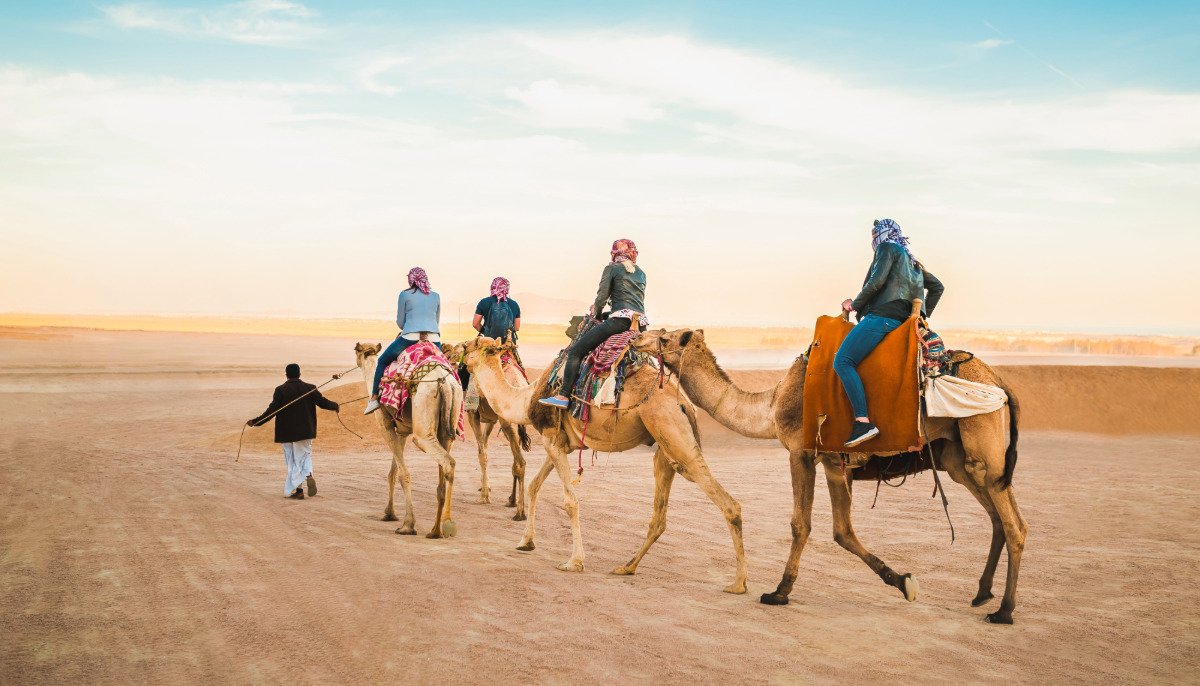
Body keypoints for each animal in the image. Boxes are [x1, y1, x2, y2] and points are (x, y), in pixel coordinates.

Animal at [350, 340, 463, 539]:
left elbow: (403, 474)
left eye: (358, 350)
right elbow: (393, 473)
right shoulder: (401, 431)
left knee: (448, 462)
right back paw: (435, 530)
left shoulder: (385, 427)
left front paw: (407, 525)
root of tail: (444, 383)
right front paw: (389, 513)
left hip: (423, 432)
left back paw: (447, 524)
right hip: (447, 427)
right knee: (444, 470)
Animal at [444, 343, 532, 520]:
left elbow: (481, 454)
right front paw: (486, 488)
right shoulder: (491, 420)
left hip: (506, 423)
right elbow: (484, 447)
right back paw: (512, 500)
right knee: (516, 460)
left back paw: (520, 511)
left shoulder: (473, 415)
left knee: (520, 461)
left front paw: (484, 495)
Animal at [458, 335, 748, 592]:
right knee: (660, 513)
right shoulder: (561, 443)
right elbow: (534, 485)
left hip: (673, 434)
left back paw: (738, 583)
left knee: (727, 503)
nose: (458, 348)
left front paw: (574, 561)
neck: (526, 398)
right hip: (665, 444)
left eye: (472, 344)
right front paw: (526, 542)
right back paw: (627, 567)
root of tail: (684, 403)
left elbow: (570, 501)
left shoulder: (552, 440)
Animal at [633, 323, 1027, 623]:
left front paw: (779, 591)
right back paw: (982, 594)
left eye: (665, 337)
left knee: (1014, 524)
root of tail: (1001, 382)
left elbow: (805, 525)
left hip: (982, 444)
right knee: (997, 517)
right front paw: (902, 580)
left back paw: (1004, 611)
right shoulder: (833, 462)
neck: (772, 404)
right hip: (957, 459)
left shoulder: (804, 453)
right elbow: (841, 531)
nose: (636, 339)